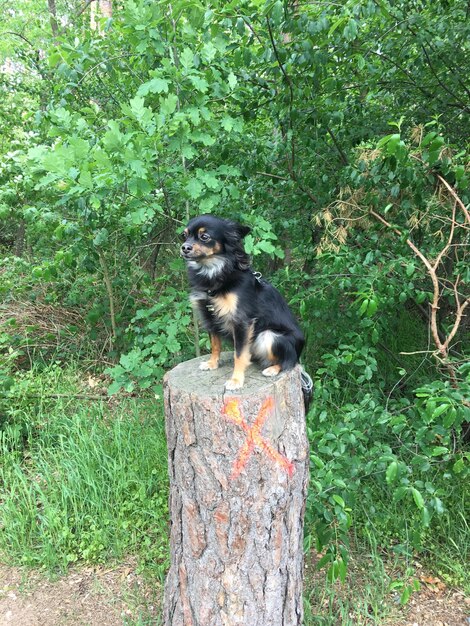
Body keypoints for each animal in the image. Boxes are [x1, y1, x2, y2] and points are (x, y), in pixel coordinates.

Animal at [180, 211, 312, 404]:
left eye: (205, 237)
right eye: (184, 235)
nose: (184, 247)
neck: (214, 272)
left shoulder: (241, 322)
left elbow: (239, 354)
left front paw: (236, 380)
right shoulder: (210, 317)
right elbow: (215, 345)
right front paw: (212, 363)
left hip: (269, 336)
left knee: (291, 361)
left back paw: (273, 369)